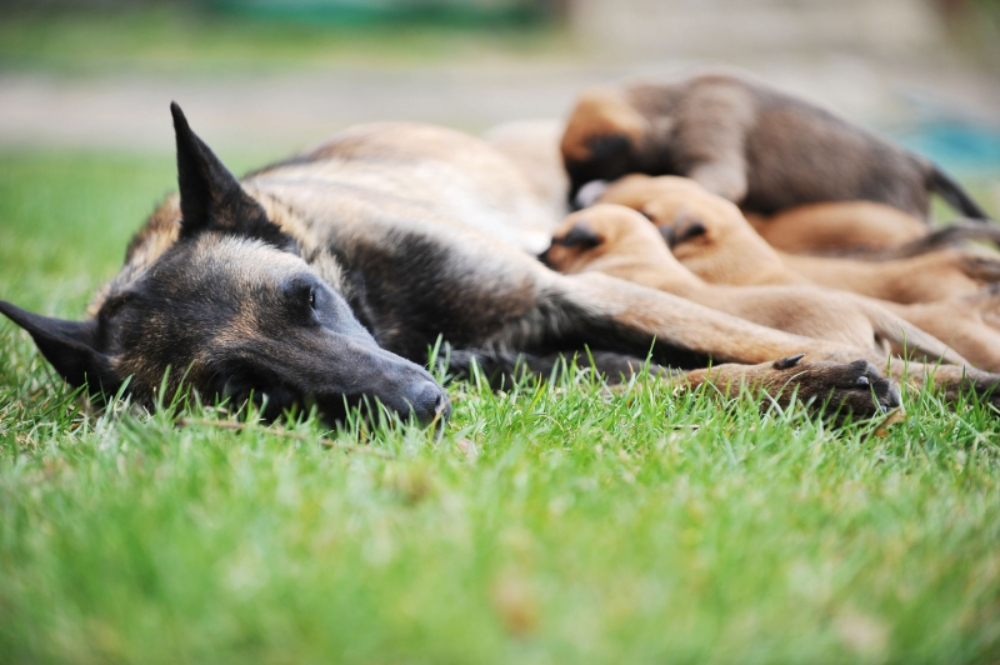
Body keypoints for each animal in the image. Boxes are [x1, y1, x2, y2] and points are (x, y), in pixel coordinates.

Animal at [3, 104, 996, 426]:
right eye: (244, 389)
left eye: (308, 297)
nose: (421, 402)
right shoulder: (554, 358)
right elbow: (680, 378)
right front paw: (812, 382)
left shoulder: (575, 287)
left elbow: (737, 336)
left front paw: (944, 383)